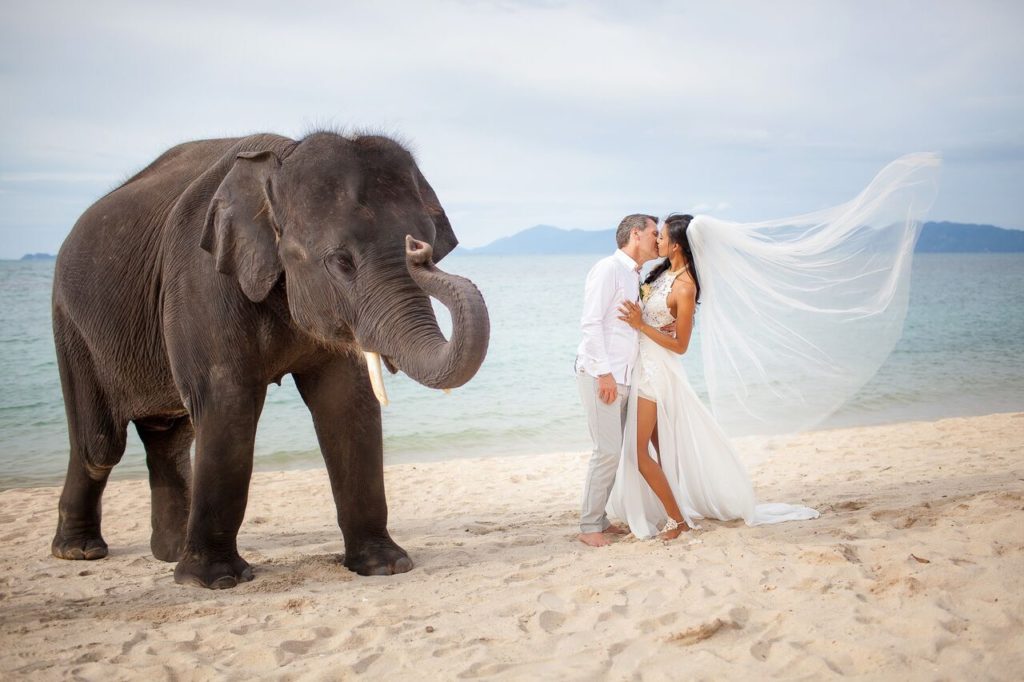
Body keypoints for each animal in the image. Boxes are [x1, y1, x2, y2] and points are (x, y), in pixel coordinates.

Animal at [49, 131, 489, 585]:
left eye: (433, 245)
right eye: (341, 261)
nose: (416, 250)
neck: (282, 160)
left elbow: (346, 403)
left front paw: (385, 566)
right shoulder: (202, 280)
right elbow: (227, 400)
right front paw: (217, 581)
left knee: (168, 440)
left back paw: (168, 555)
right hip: (72, 327)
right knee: (100, 445)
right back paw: (80, 552)